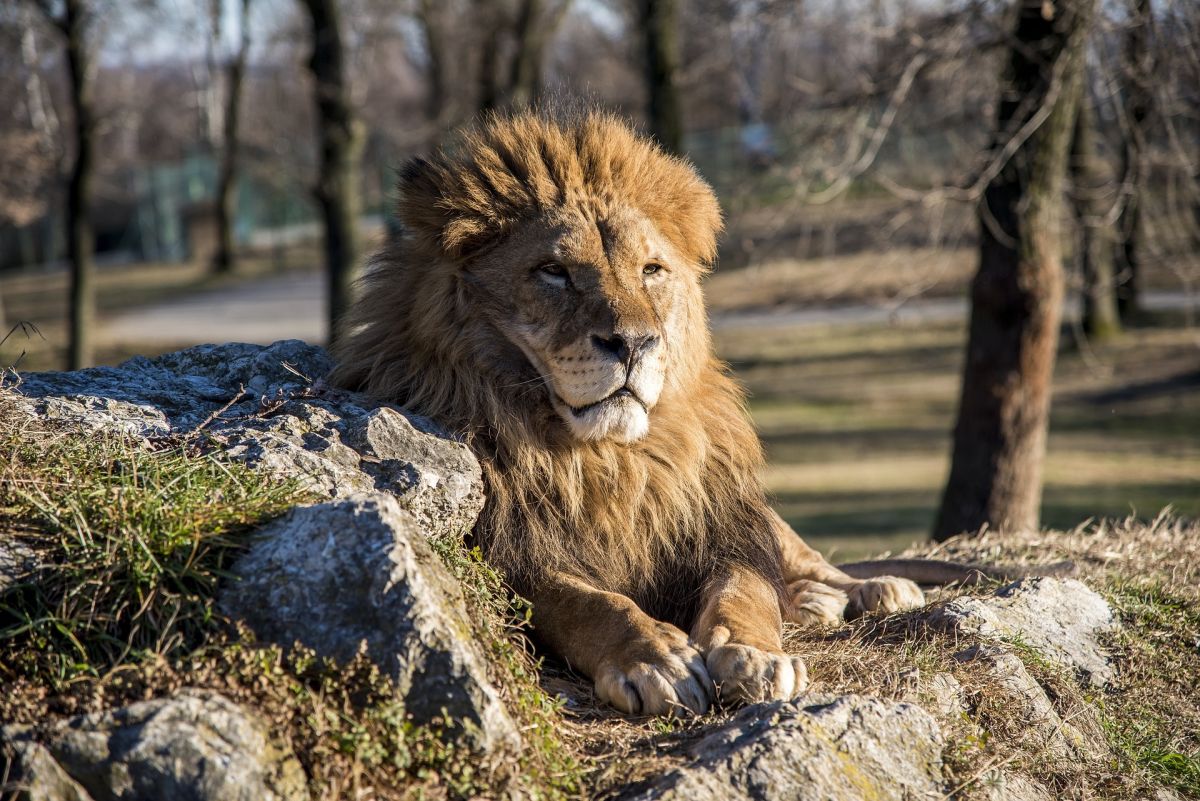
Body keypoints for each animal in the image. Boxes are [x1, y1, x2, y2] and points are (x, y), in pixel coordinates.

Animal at [333, 110, 921, 714]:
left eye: (651, 270)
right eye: (554, 271)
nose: (635, 344)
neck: (608, 459)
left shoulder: (717, 528)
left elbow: (747, 591)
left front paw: (755, 655)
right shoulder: (512, 555)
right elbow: (589, 602)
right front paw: (656, 659)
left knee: (805, 557)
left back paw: (869, 589)